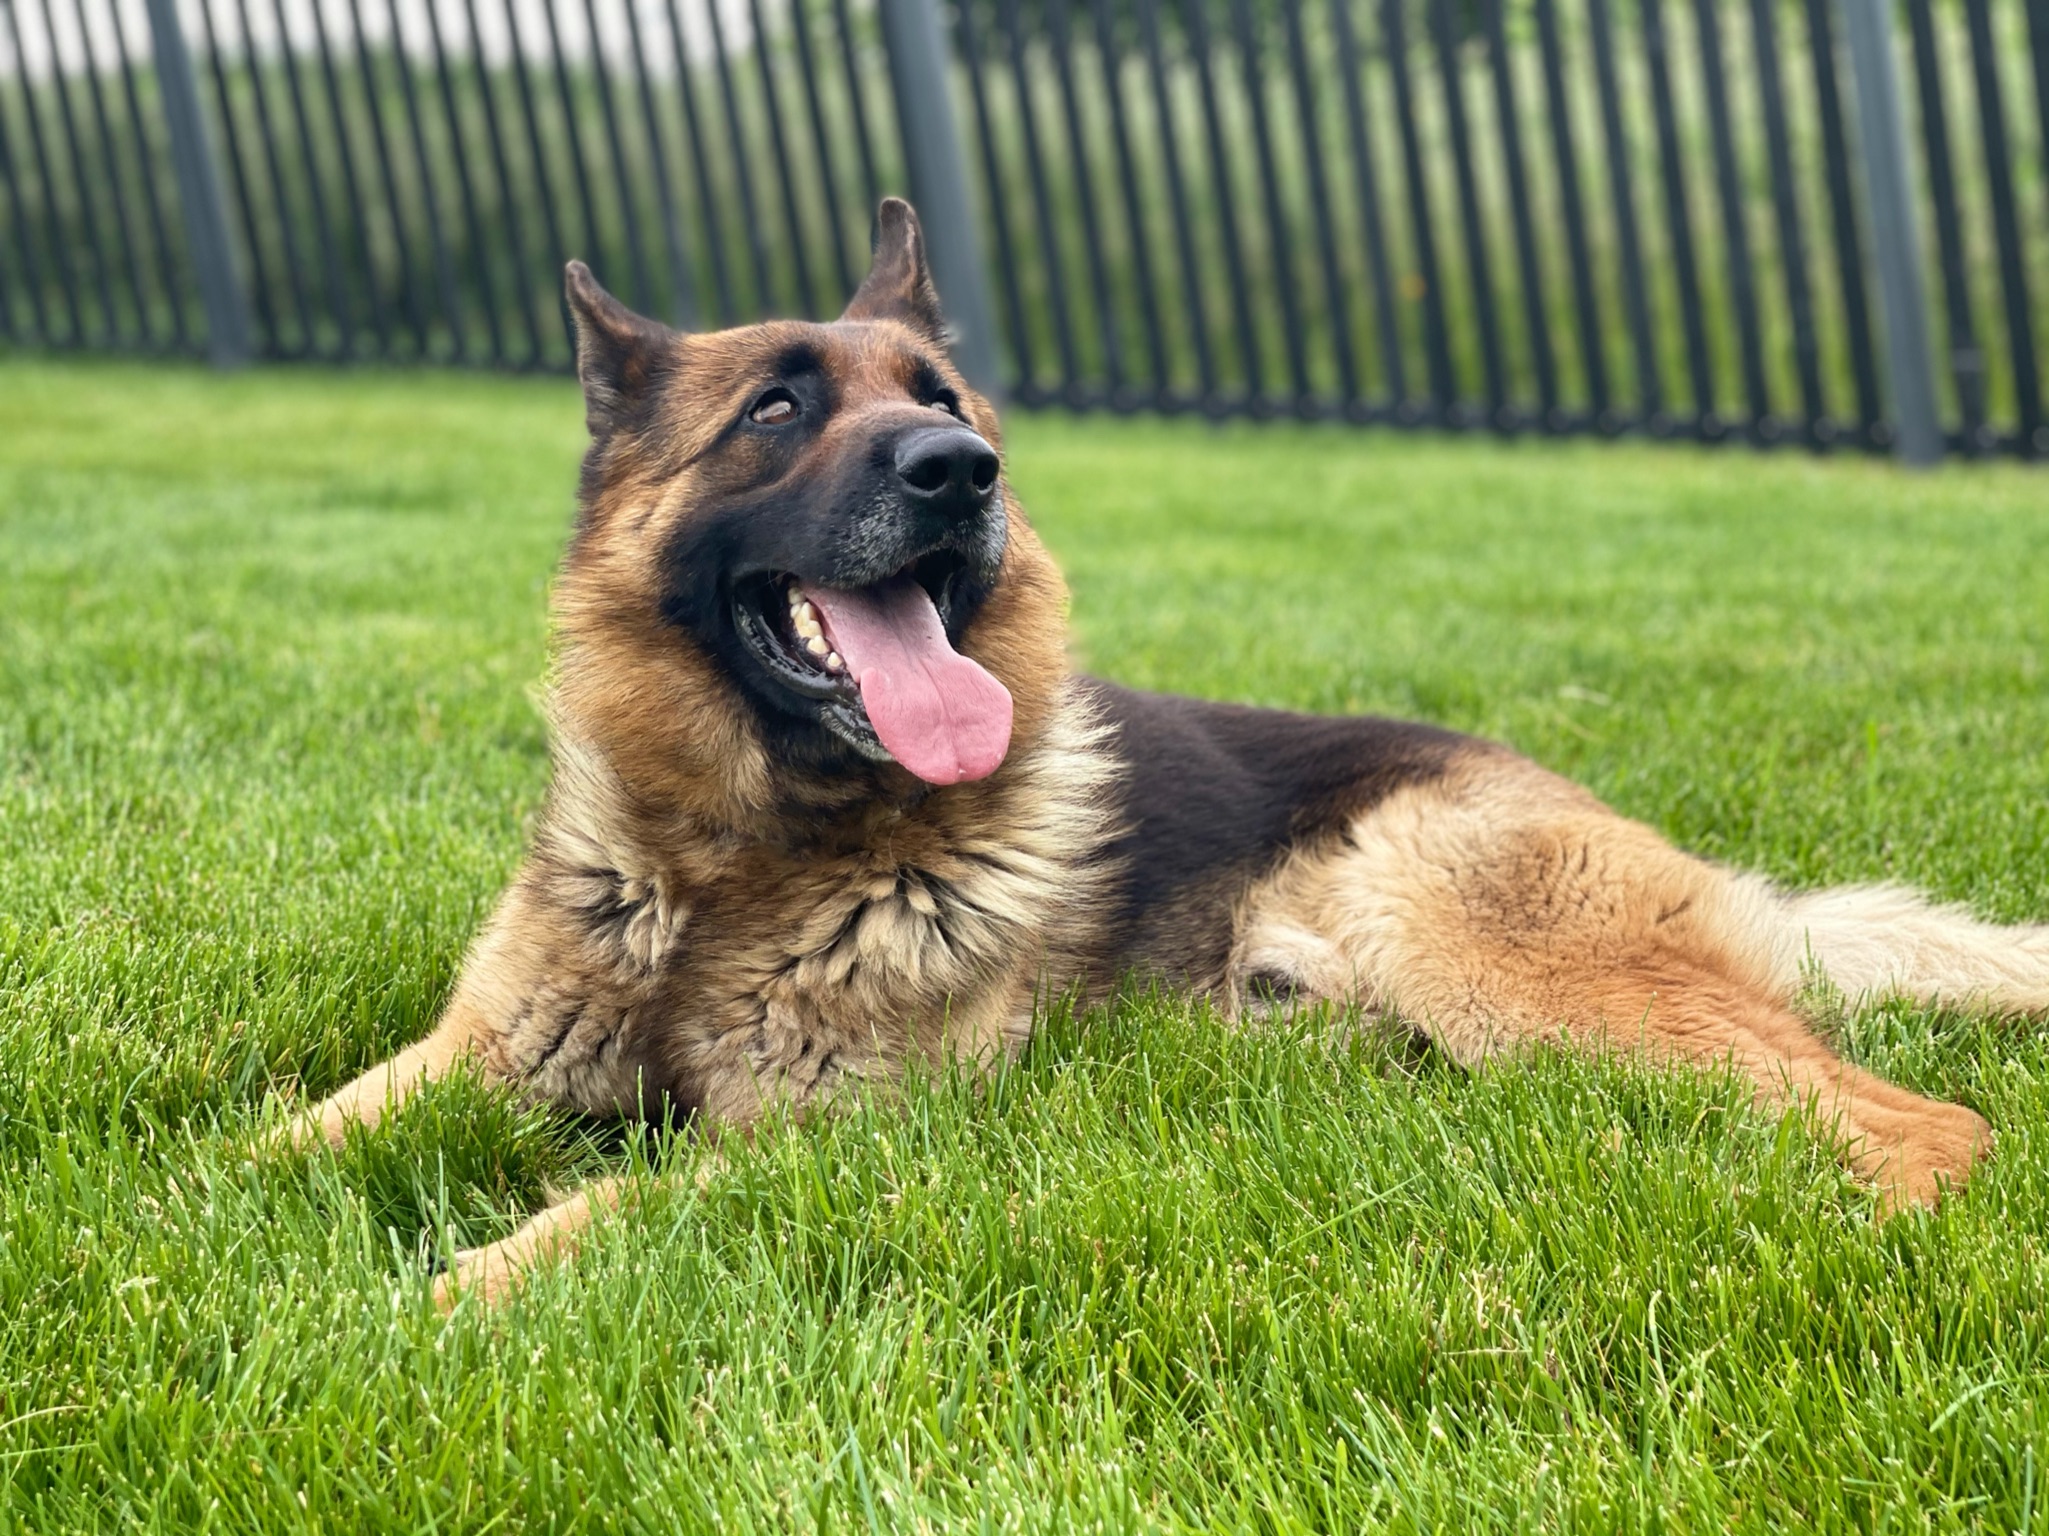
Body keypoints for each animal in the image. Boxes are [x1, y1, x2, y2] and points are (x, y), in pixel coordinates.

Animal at [284, 198, 2049, 1302]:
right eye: (775, 412)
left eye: (942, 400)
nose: (958, 467)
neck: (740, 860)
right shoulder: (461, 1063)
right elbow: (276, 1142)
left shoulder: (816, 1144)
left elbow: (594, 1209)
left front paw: (429, 1298)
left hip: (1463, 930)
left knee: (1926, 1130)